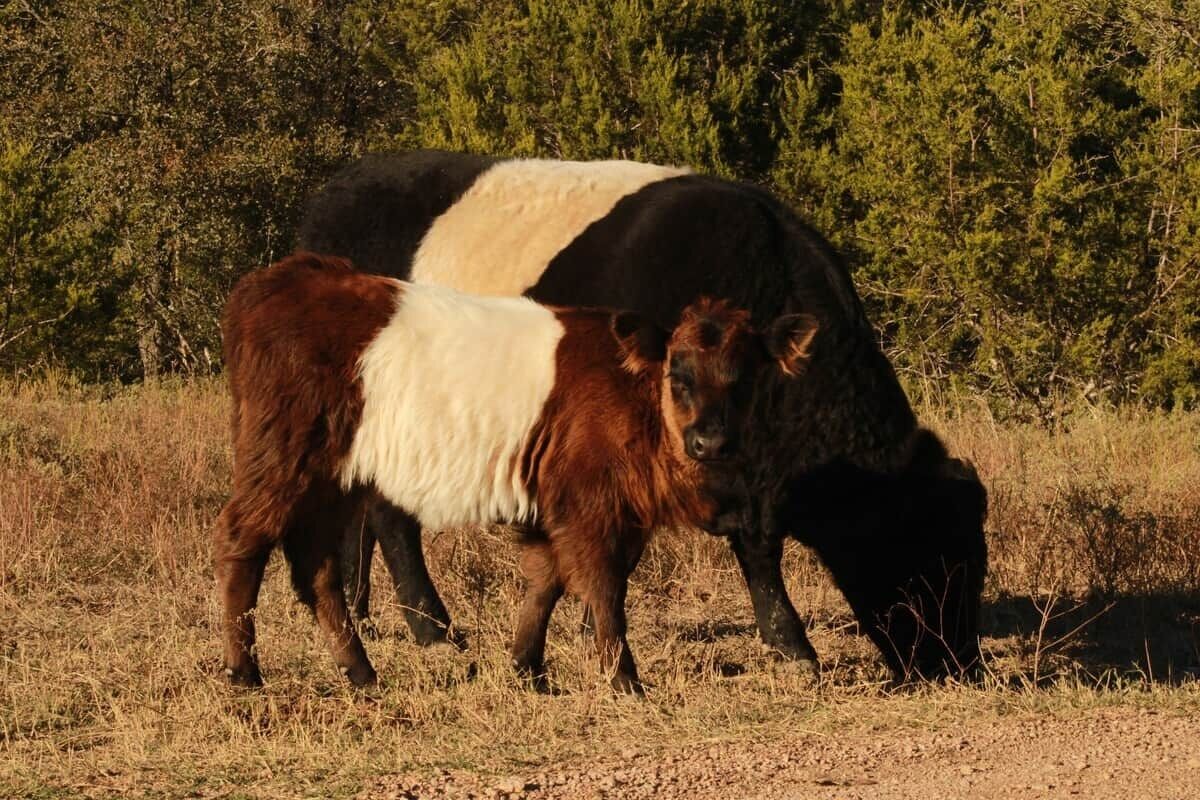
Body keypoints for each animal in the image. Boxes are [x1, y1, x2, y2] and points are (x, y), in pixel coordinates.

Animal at [216, 252, 819, 690]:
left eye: (745, 378)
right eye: (680, 374)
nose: (710, 440)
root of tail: (287, 276)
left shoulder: (569, 506)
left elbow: (545, 580)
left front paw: (527, 668)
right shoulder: (590, 504)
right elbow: (604, 589)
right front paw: (624, 680)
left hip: (332, 481)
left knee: (317, 569)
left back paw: (361, 673)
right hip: (280, 458)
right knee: (243, 542)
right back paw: (245, 672)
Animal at [297, 151, 989, 680]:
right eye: (930, 555)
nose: (957, 664)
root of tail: (334, 192)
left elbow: (753, 544)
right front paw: (791, 645)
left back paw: (366, 610)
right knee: (391, 515)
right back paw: (431, 628)